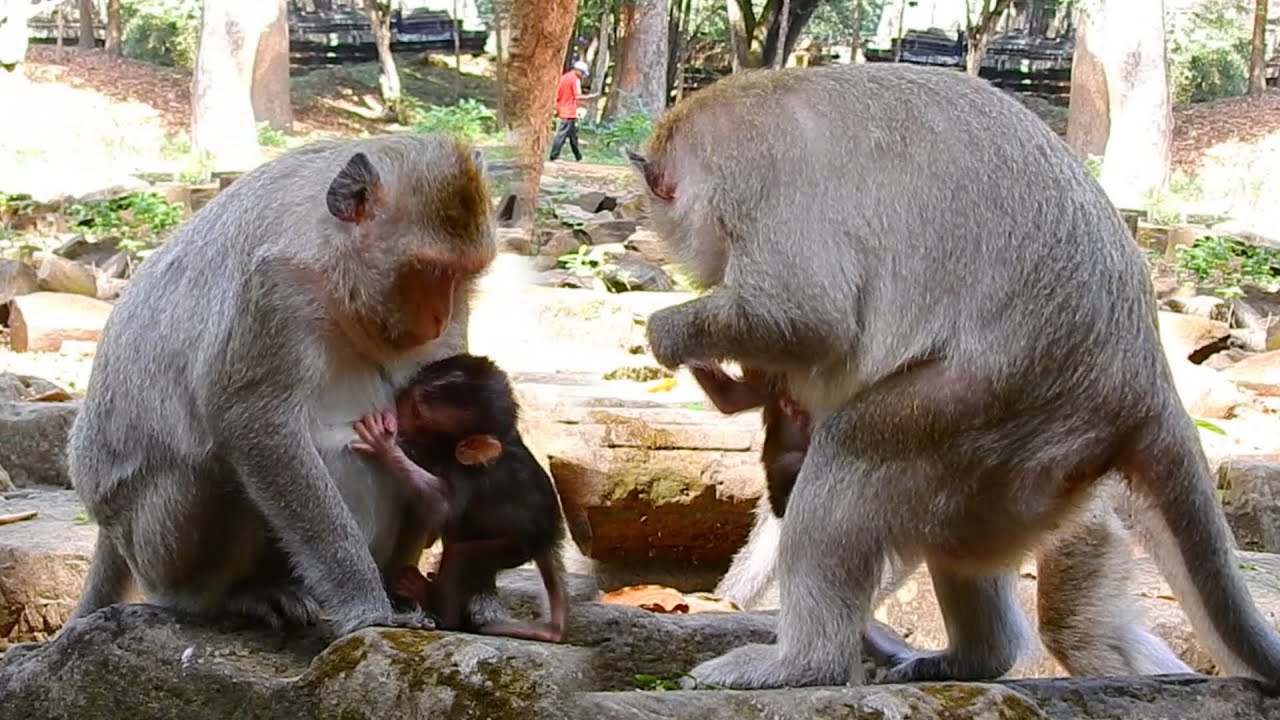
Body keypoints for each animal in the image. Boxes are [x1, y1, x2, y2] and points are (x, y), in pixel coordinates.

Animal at [63, 133, 497, 639]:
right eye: (427, 271)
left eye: (463, 276)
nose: (439, 317)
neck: (332, 265)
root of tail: (105, 527)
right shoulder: (273, 290)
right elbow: (256, 426)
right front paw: (366, 603)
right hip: (150, 543)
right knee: (212, 467)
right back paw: (225, 597)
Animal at [350, 353, 570, 643]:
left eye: (417, 412)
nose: (396, 408)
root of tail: (549, 538)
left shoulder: (469, 473)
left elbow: (444, 506)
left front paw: (385, 447)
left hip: (515, 546)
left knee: (463, 554)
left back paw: (433, 600)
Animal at [625, 62, 1280, 690]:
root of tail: (1143, 376)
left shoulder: (751, 181)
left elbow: (808, 317)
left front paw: (672, 334)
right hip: (1027, 473)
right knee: (963, 540)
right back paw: (974, 658)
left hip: (999, 409)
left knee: (855, 449)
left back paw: (804, 664)